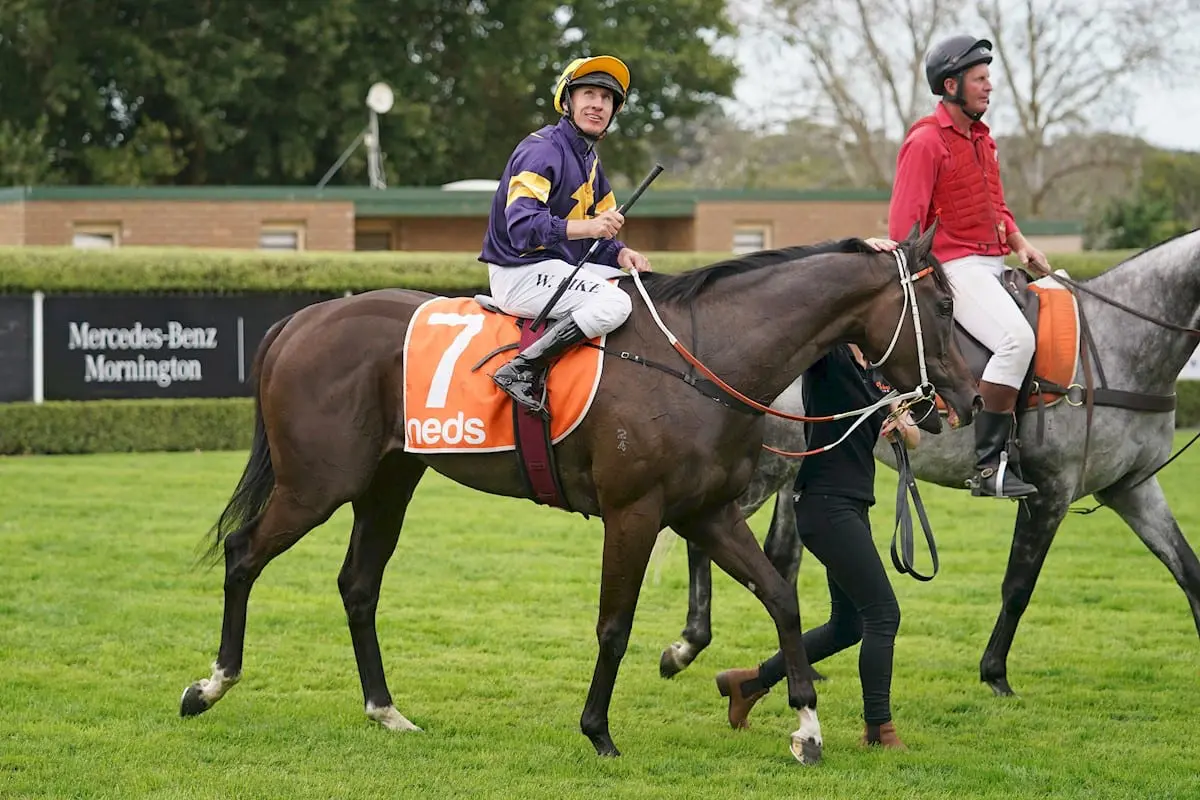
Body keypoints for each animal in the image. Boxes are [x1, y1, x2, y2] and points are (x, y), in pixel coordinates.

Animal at [180, 224, 984, 762]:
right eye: (945, 306)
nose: (971, 399)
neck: (702, 357)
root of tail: (300, 319)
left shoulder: (707, 513)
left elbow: (781, 597)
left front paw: (807, 727)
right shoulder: (635, 514)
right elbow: (614, 625)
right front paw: (598, 731)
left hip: (387, 483)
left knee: (357, 584)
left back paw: (386, 711)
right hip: (319, 482)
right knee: (243, 553)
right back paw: (211, 685)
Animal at [662, 227, 1200, 695]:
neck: (1116, 342)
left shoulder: (1133, 489)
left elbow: (1189, 572)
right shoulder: (1050, 493)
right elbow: (1018, 587)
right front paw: (994, 673)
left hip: (796, 468)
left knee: (779, 556)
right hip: (767, 469)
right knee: (705, 538)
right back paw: (687, 643)